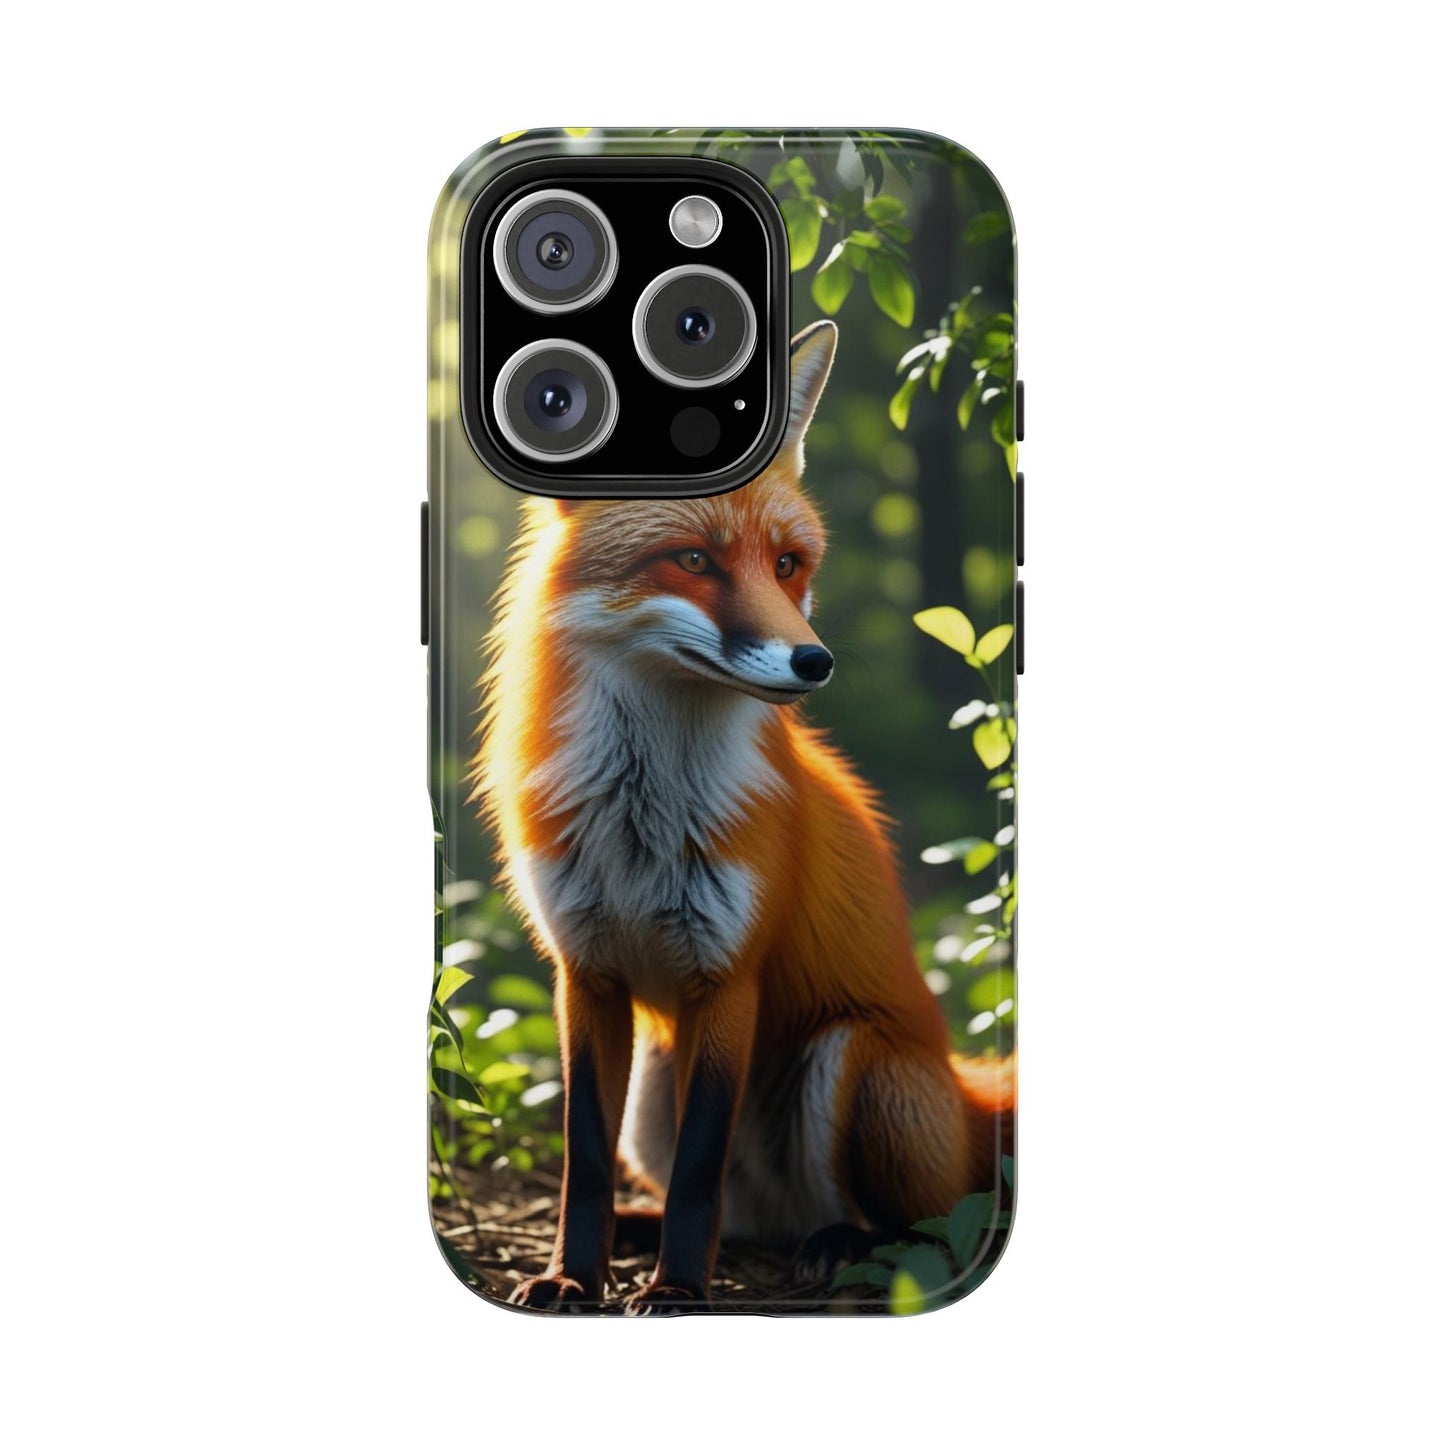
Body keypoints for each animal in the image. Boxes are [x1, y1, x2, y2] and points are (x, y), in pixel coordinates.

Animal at [472, 320, 1014, 1313]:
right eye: (693, 559)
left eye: (787, 565)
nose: (814, 661)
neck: (639, 821)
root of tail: (966, 1092)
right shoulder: (585, 971)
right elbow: (584, 1158)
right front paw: (573, 1271)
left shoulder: (728, 977)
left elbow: (698, 1166)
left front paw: (679, 1288)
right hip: (653, 1088)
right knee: (743, 1213)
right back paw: (656, 1232)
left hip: (851, 1062)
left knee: (911, 1227)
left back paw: (837, 1243)